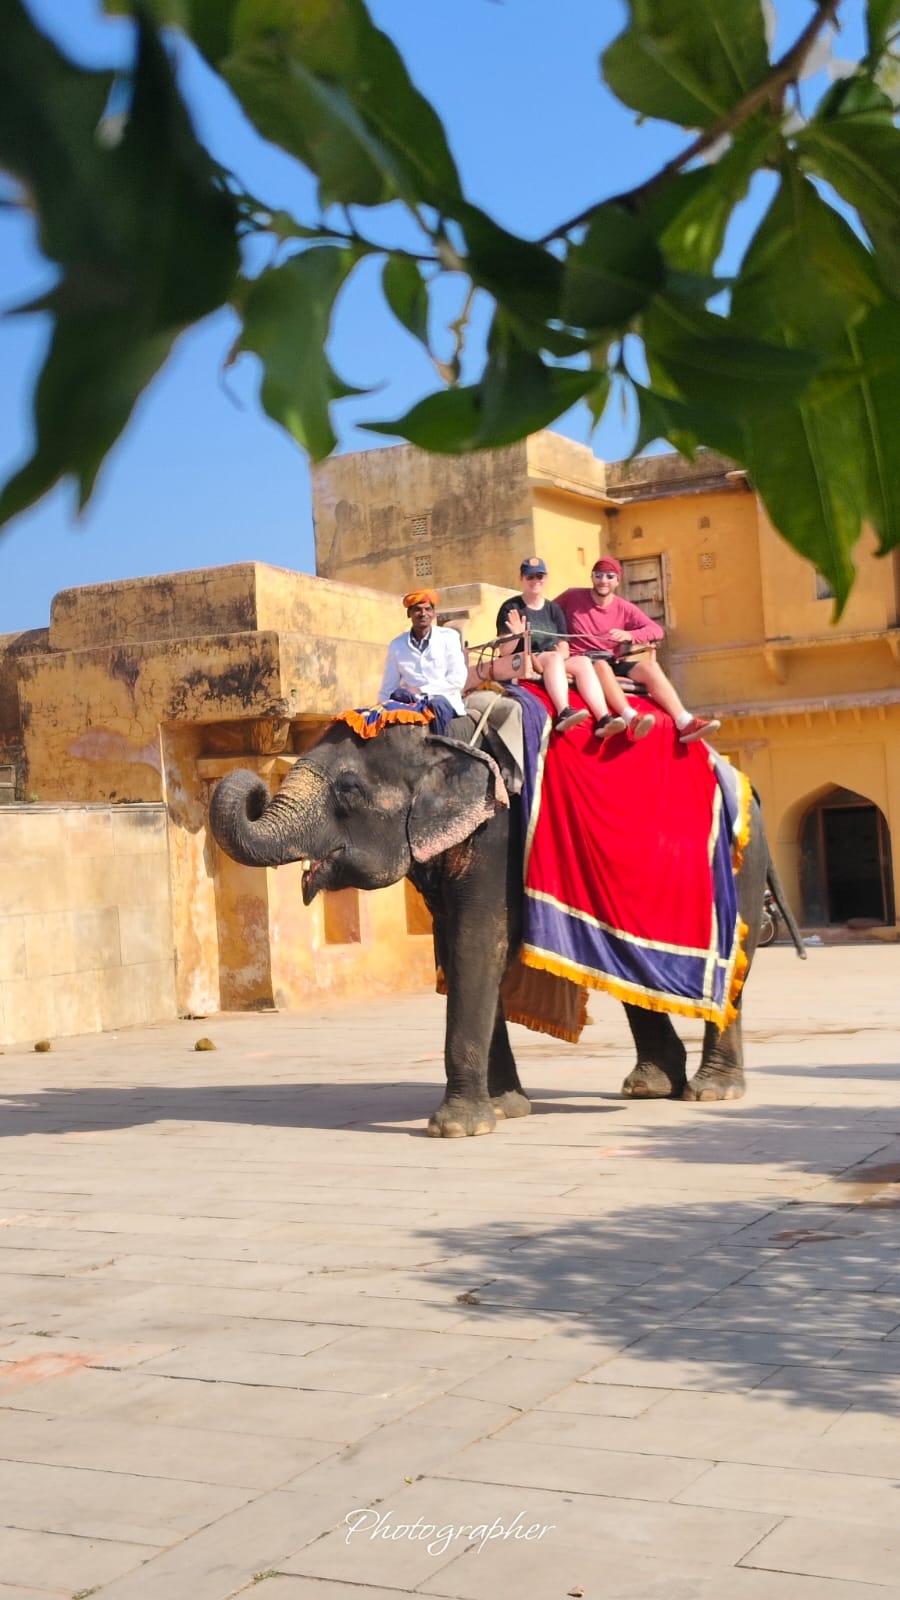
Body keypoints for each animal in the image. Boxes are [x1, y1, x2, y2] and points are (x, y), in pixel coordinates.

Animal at [209, 717, 802, 1138]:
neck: (442, 735)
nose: (254, 785)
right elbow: (458, 948)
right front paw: (505, 1109)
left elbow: (478, 942)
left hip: (742, 868)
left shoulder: (499, 832)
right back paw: (651, 1088)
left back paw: (711, 1093)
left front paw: (457, 1129)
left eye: (349, 791)